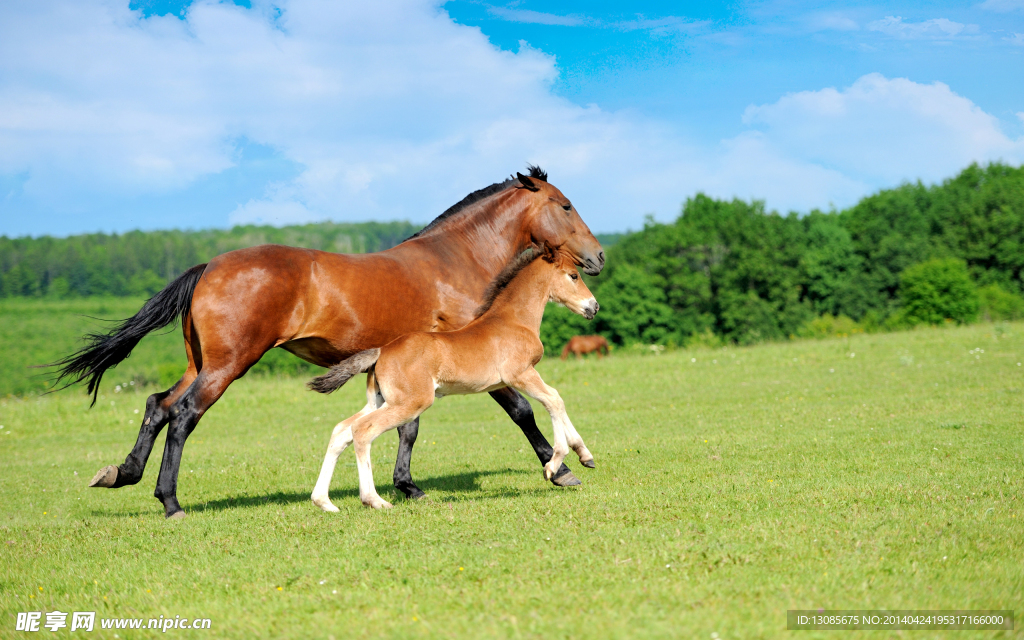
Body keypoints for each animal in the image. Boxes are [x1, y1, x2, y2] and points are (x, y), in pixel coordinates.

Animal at [306, 246, 598, 510]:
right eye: (573, 275)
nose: (593, 306)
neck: (513, 321)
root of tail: (381, 351)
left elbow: (556, 400)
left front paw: (585, 456)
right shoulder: (520, 374)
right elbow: (554, 400)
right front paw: (553, 466)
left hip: (381, 400)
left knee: (341, 430)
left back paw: (324, 501)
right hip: (411, 403)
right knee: (363, 431)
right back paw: (374, 500)